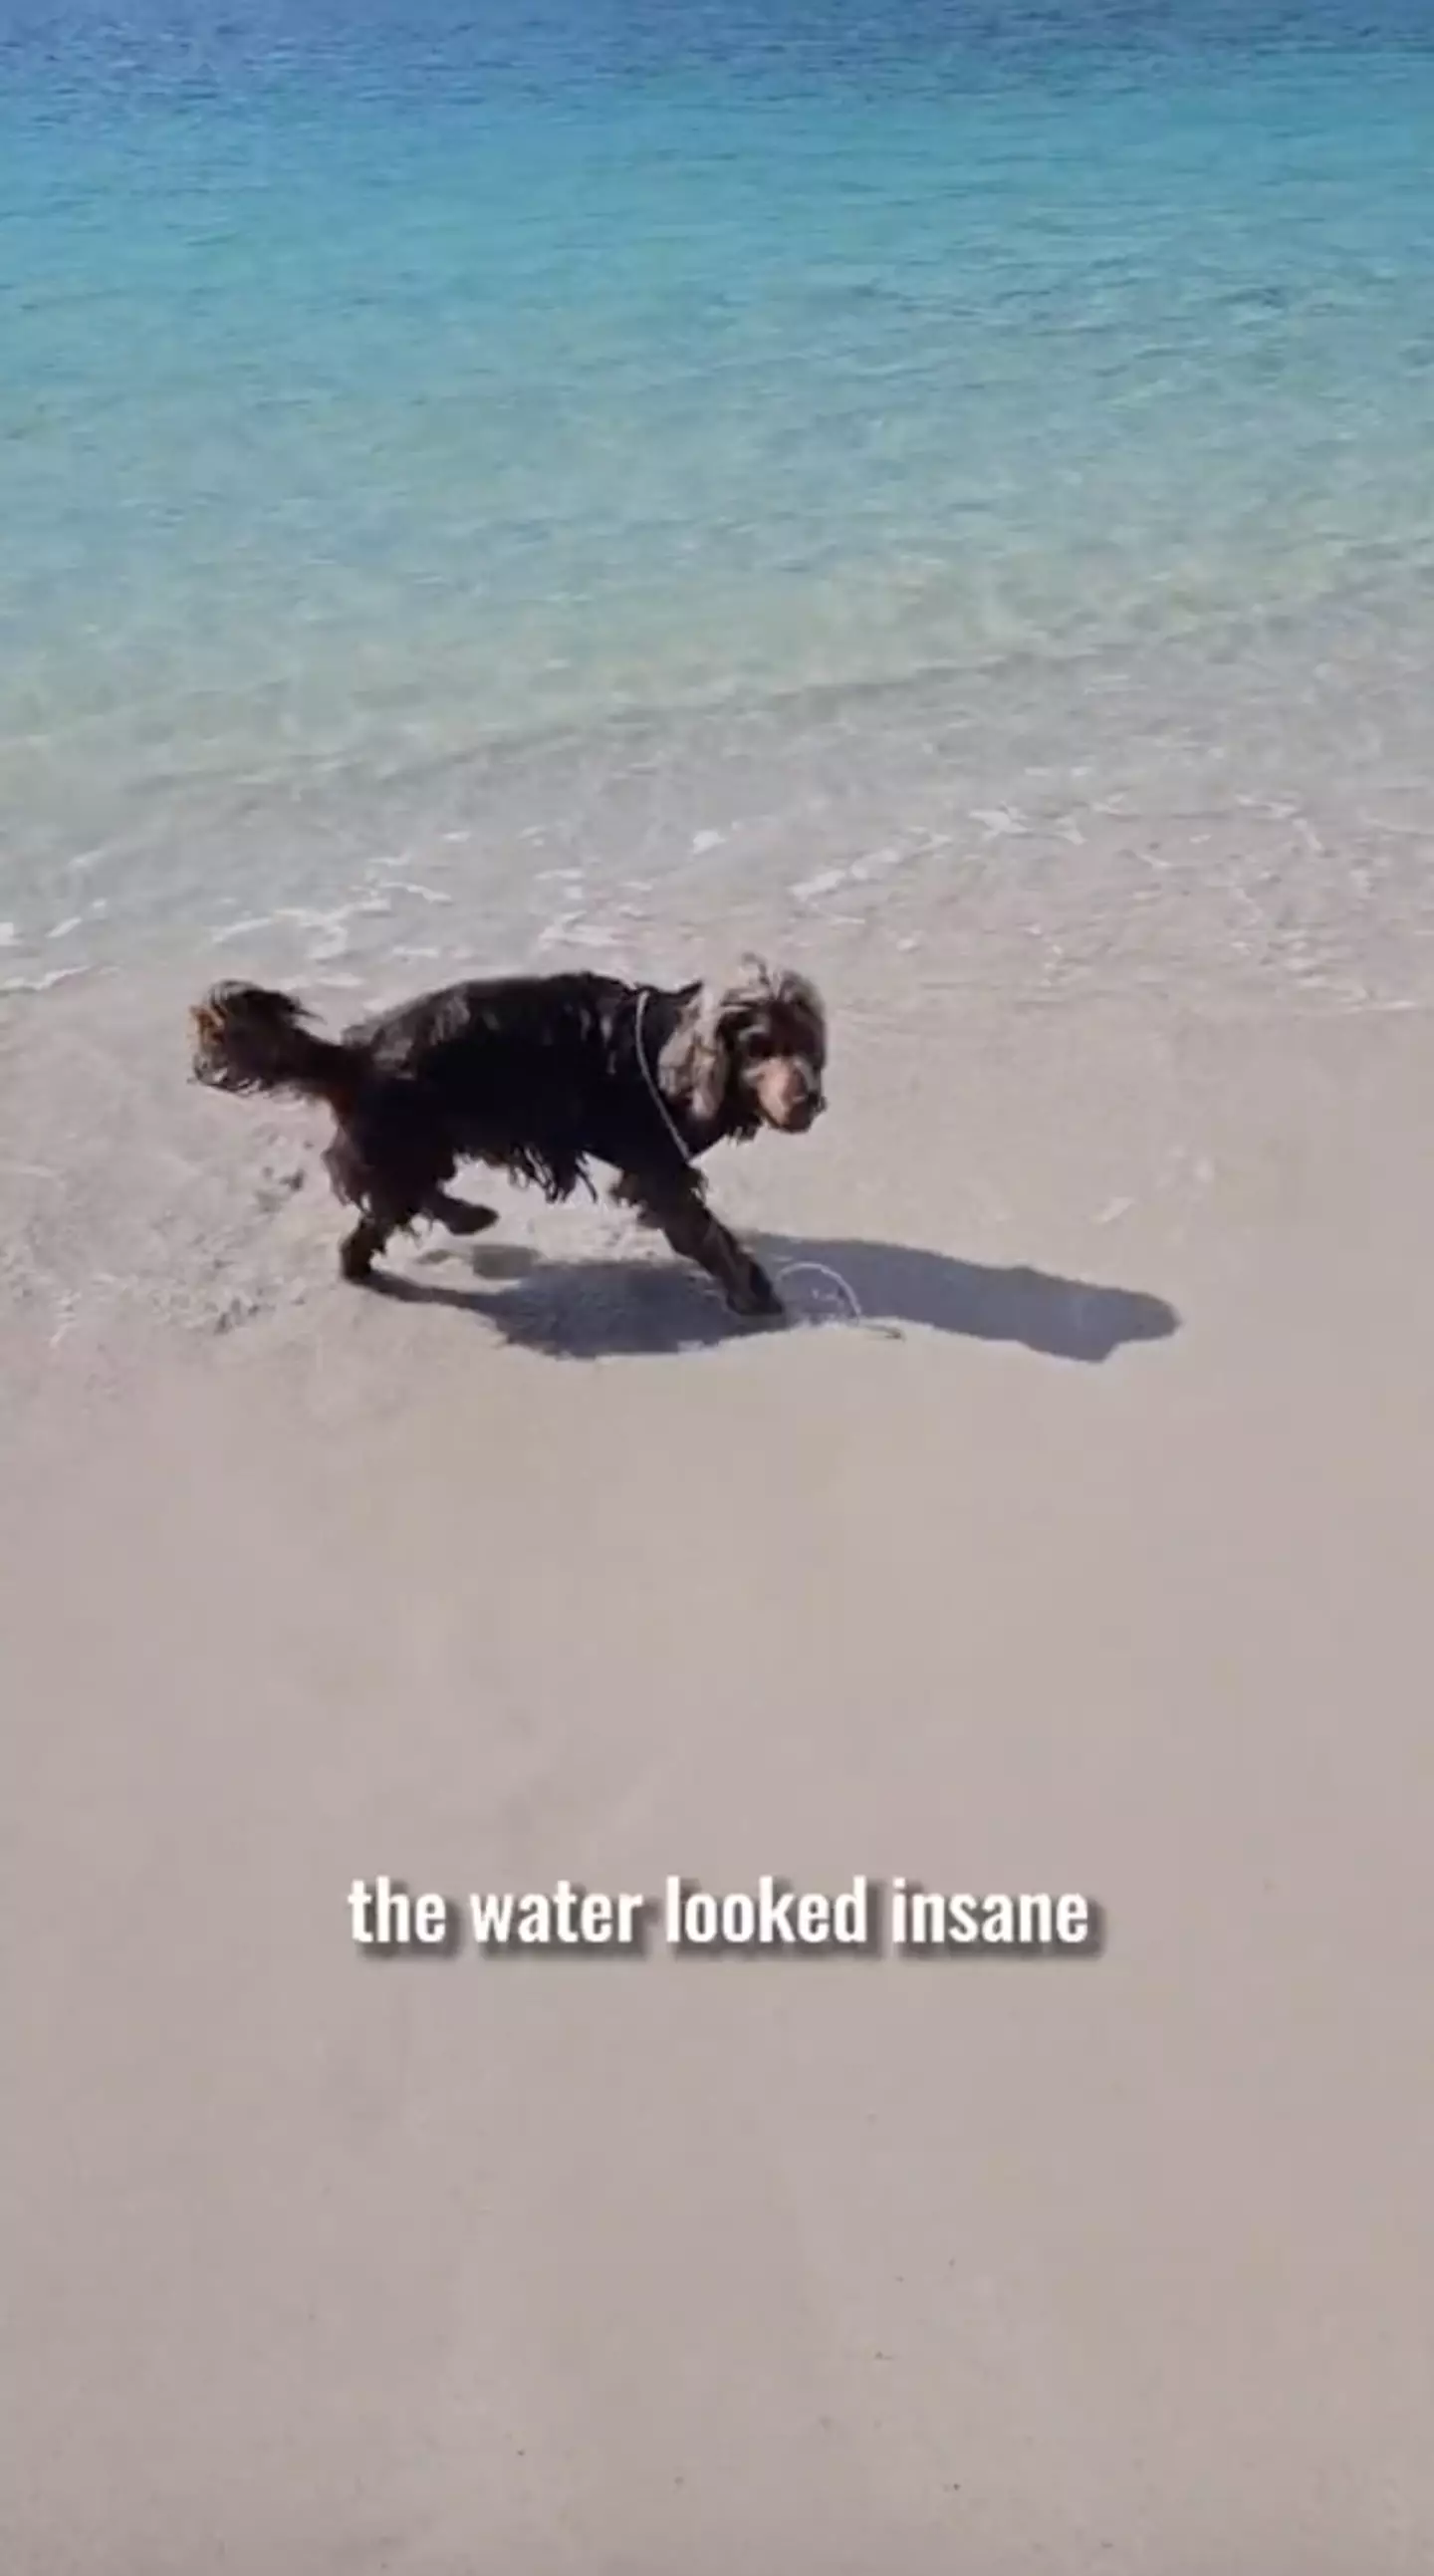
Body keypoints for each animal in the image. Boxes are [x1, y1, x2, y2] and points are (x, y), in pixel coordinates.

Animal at [187, 957, 829, 1319]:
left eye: (806, 1044)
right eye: (758, 1049)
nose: (808, 1102)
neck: (670, 1052)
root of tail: (354, 1053)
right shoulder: (658, 1173)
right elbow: (709, 1235)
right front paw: (752, 1293)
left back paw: (462, 1218)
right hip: (407, 1142)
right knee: (374, 1222)